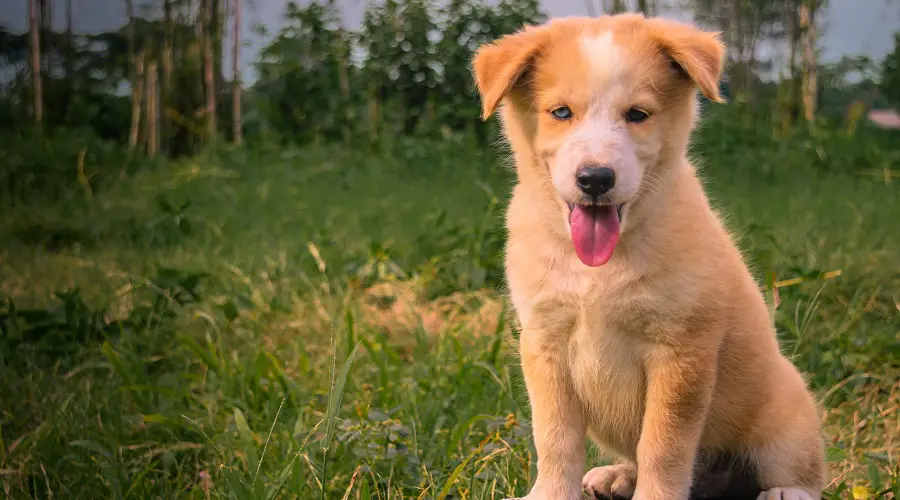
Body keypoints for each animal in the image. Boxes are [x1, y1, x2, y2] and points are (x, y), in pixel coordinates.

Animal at [472, 13, 828, 500]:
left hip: (786, 417)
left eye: (637, 115)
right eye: (560, 112)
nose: (596, 178)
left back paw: (784, 492)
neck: (598, 271)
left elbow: (664, 445)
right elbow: (555, 438)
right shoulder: (544, 341)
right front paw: (551, 493)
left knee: (803, 471)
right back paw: (619, 476)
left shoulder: (679, 351)